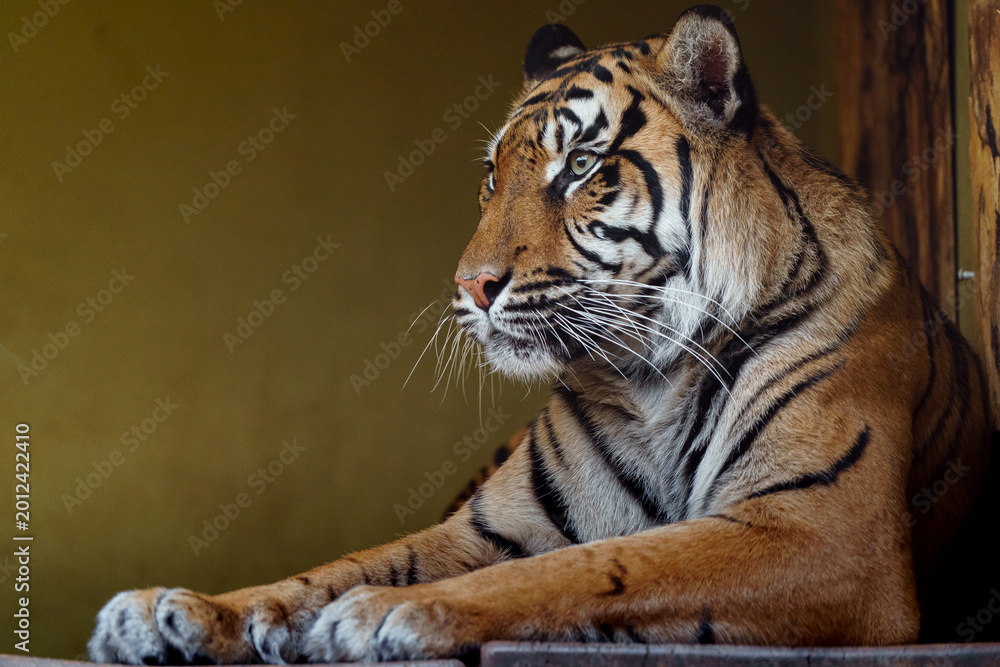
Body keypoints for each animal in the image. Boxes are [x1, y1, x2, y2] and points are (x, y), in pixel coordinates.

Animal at [88, 5, 995, 663]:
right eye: (493, 176)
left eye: (580, 169)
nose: (469, 286)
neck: (648, 376)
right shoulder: (485, 525)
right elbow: (341, 563)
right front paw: (176, 611)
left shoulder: (818, 530)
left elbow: (593, 564)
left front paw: (384, 612)